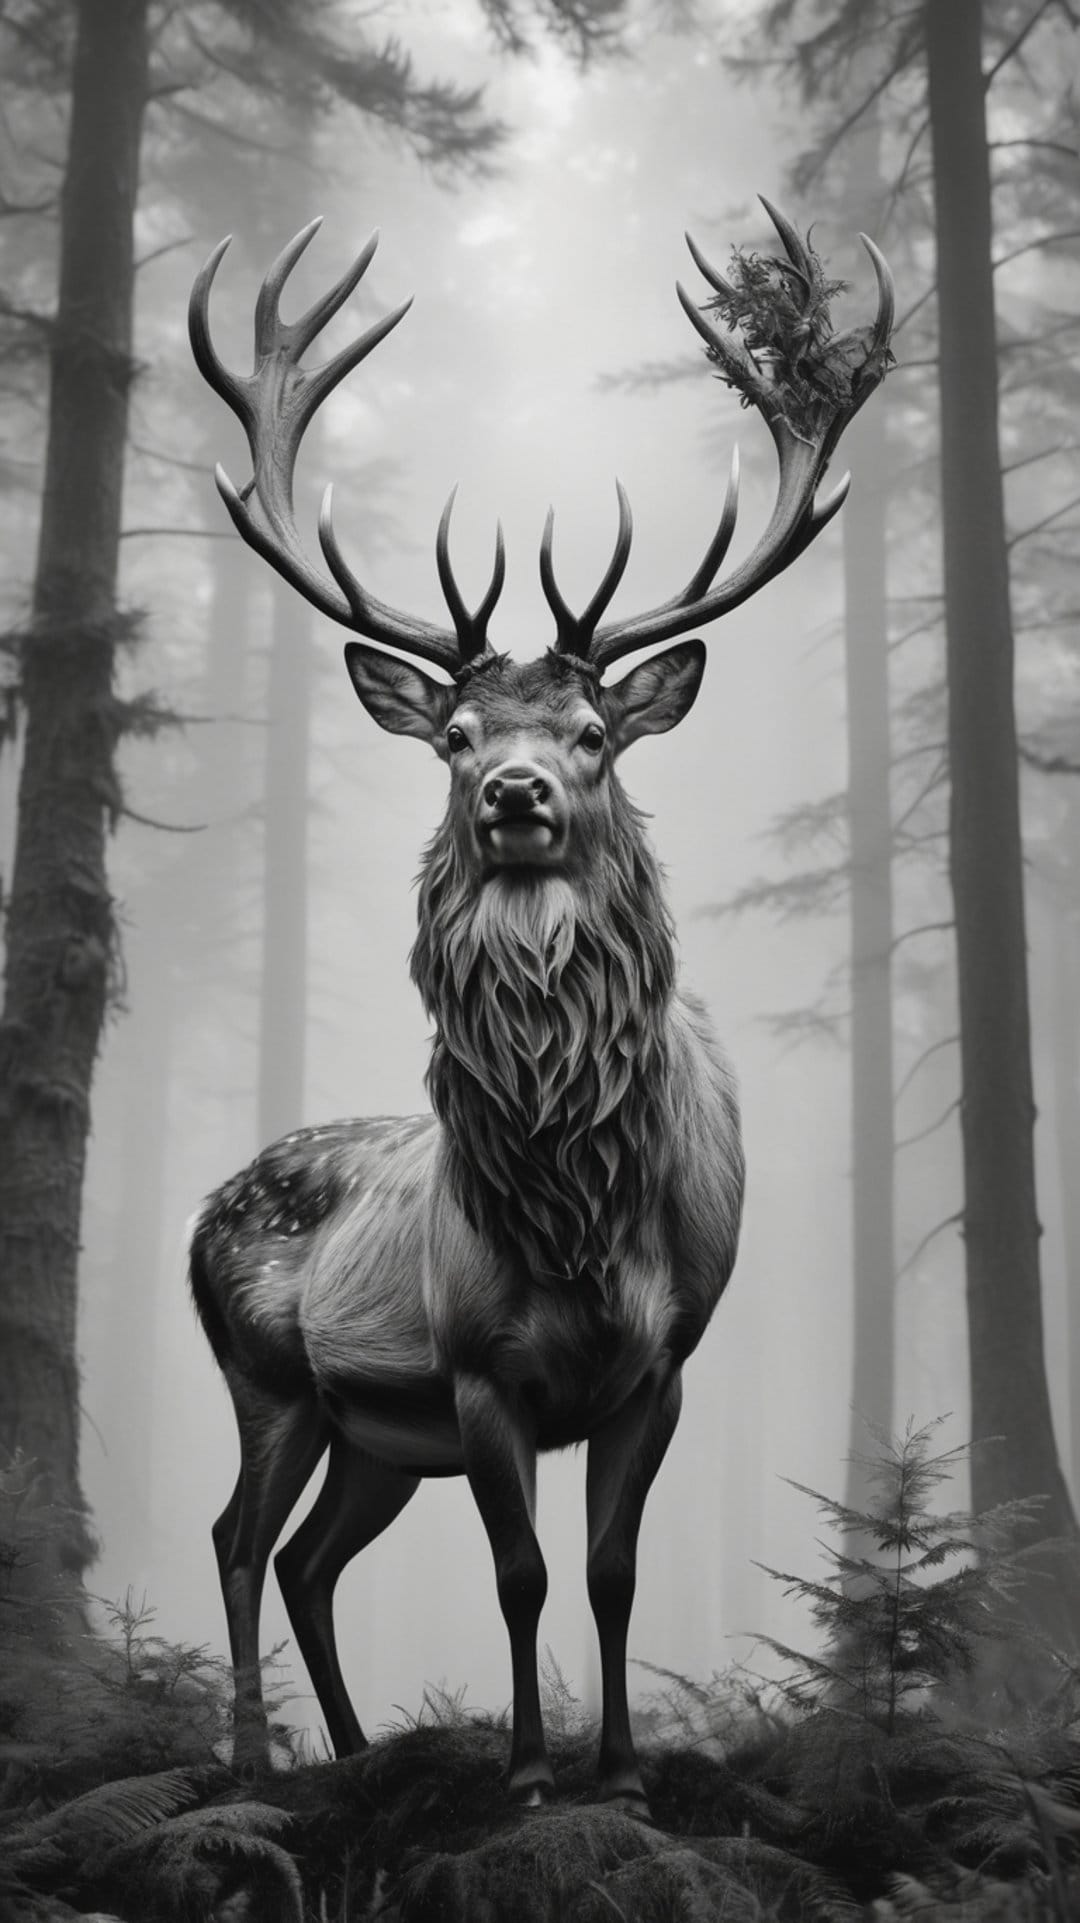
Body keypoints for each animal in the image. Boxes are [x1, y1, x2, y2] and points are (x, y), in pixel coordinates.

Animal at [186, 202, 892, 1817]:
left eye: (590, 732)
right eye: (452, 734)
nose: (515, 794)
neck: (579, 1199)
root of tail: (205, 1207)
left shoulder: (668, 1358)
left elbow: (614, 1570)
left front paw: (619, 1771)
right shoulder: (476, 1366)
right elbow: (519, 1576)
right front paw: (522, 1769)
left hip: (371, 1435)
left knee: (310, 1557)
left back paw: (359, 1749)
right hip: (271, 1375)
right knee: (240, 1537)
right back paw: (259, 1765)